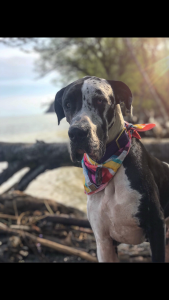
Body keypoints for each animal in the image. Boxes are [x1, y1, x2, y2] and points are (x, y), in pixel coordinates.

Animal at [54, 75, 169, 262]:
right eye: (68, 104)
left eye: (100, 100)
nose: (77, 132)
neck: (106, 165)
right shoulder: (104, 242)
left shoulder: (156, 228)